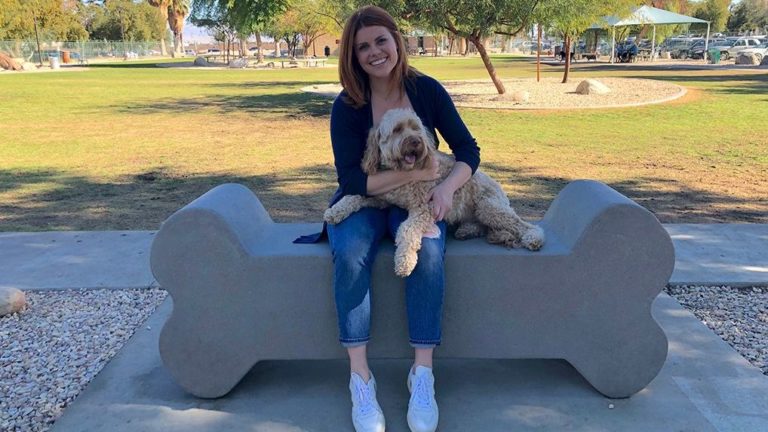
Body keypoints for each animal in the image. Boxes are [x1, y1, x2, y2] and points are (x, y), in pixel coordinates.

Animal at [326, 108, 544, 276]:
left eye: (416, 128)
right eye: (397, 130)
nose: (416, 141)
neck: (402, 173)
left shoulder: (425, 208)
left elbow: (406, 229)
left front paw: (404, 261)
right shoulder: (382, 198)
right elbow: (354, 196)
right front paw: (335, 211)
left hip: (488, 207)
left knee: (522, 225)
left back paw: (533, 238)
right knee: (484, 226)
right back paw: (467, 230)